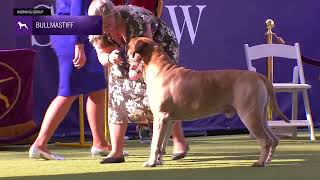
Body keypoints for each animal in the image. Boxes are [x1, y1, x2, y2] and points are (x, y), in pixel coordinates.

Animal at [126, 36, 288, 167]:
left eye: (128, 47)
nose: (122, 54)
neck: (161, 69)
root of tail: (259, 76)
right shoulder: (169, 120)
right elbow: (162, 143)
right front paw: (158, 161)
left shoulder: (160, 117)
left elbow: (155, 143)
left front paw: (151, 162)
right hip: (260, 116)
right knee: (274, 139)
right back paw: (267, 160)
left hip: (249, 115)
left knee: (266, 140)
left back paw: (260, 162)